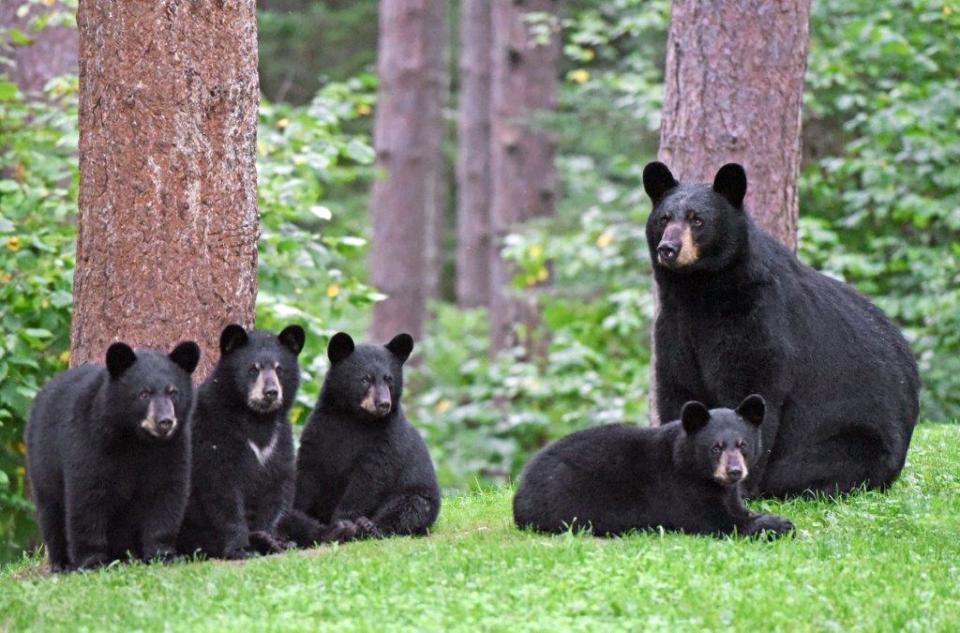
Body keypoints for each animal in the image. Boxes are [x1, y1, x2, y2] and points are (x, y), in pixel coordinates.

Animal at [25, 344, 201, 572]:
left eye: (173, 392)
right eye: (144, 393)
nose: (165, 422)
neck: (135, 439)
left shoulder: (171, 449)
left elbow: (166, 493)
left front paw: (163, 554)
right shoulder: (90, 441)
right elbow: (87, 496)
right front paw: (92, 561)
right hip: (42, 462)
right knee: (51, 510)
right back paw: (61, 561)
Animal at [176, 324, 304, 556]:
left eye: (279, 369)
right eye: (253, 369)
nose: (271, 392)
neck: (256, 418)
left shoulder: (279, 439)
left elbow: (278, 485)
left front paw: (270, 539)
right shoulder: (212, 431)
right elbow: (222, 488)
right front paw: (241, 547)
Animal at [292, 330, 442, 540]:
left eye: (389, 379)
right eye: (365, 379)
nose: (384, 404)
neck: (355, 418)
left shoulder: (387, 439)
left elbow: (369, 480)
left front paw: (344, 521)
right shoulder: (319, 429)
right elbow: (308, 470)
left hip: (418, 493)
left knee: (409, 509)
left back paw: (369, 527)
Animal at [512, 396, 792, 532]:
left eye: (743, 445)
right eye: (716, 448)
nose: (734, 471)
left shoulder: (726, 491)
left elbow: (736, 508)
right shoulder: (678, 488)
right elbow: (714, 521)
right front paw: (778, 524)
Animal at [640, 160, 920, 496]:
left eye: (697, 219)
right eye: (664, 218)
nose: (668, 248)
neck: (700, 290)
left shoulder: (756, 316)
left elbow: (751, 383)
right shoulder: (675, 324)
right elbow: (678, 386)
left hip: (858, 438)